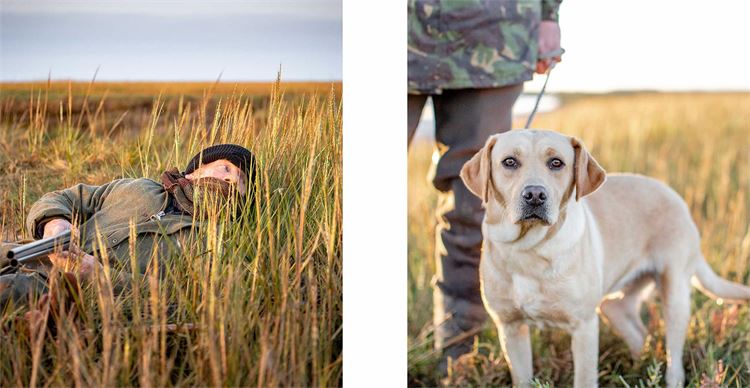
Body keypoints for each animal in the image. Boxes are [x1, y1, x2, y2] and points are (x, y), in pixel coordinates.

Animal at [458, 130, 750, 388]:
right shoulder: (510, 328)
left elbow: (585, 379)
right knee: (632, 325)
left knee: (674, 356)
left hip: (675, 293)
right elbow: (522, 378)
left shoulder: (584, 327)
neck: (529, 249)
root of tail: (675, 195)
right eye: (509, 162)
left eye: (556, 163)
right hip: (616, 304)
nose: (535, 195)